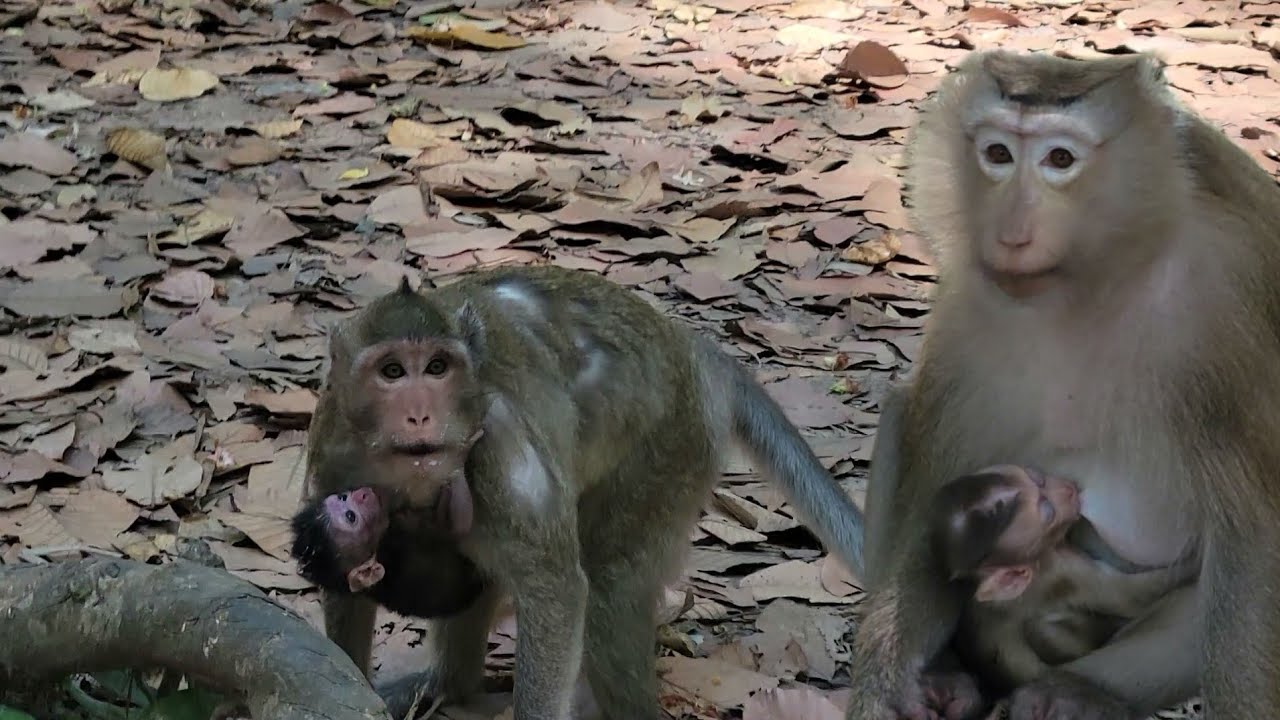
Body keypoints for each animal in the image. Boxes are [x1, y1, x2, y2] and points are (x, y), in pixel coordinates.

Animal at [932, 466, 1197, 692]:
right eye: (1048, 511)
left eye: (1037, 477)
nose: (1069, 489)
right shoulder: (1067, 571)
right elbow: (1130, 597)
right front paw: (1194, 559)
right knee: (1041, 632)